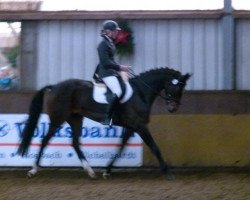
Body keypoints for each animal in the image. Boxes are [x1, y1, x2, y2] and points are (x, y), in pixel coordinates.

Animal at [16, 67, 190, 180]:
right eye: (175, 87)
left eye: (182, 90)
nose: (173, 108)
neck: (141, 92)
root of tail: (54, 87)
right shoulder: (140, 126)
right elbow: (154, 147)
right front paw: (167, 172)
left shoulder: (132, 127)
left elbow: (121, 147)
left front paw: (107, 170)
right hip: (58, 118)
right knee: (45, 140)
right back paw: (33, 170)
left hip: (75, 118)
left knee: (75, 143)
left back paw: (91, 172)